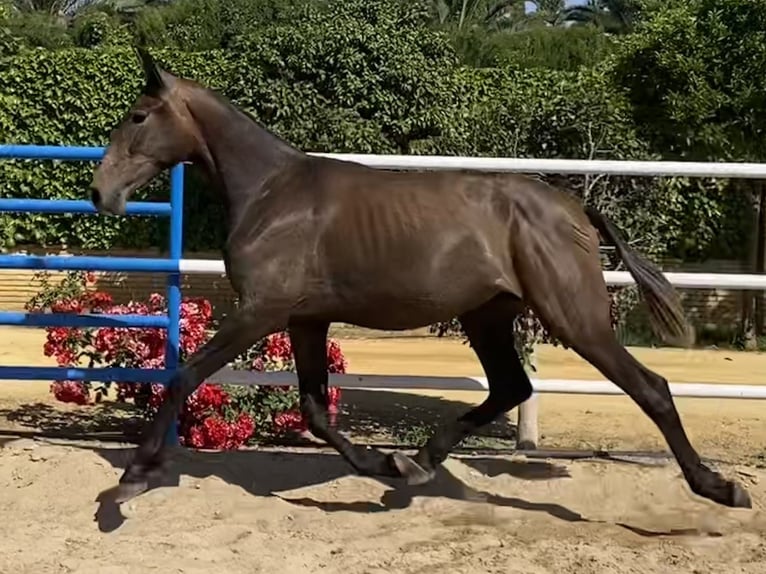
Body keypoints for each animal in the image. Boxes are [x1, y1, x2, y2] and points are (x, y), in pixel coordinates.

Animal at [88, 47, 752, 510]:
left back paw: (720, 487)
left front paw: (131, 480)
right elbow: (314, 409)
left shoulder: (261, 310)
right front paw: (383, 464)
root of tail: (573, 208)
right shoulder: (305, 319)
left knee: (651, 389)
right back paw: (418, 463)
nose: (100, 193)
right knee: (511, 387)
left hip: (574, 317)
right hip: (488, 315)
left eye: (138, 115)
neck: (271, 194)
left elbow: (184, 375)